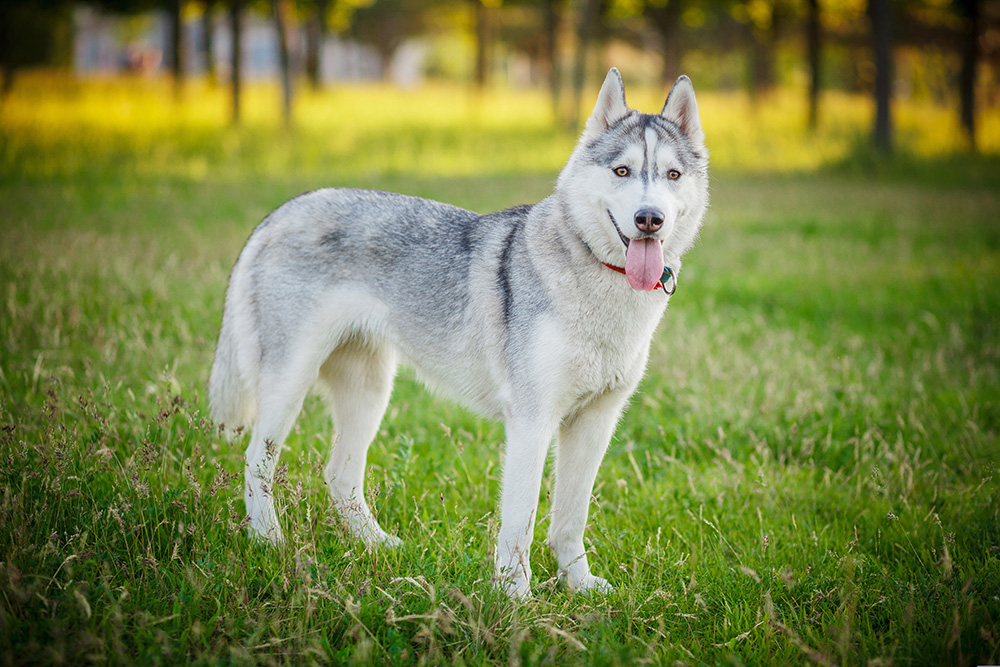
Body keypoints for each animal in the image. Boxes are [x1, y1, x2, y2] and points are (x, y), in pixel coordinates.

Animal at [210, 69, 708, 600]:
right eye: (621, 171)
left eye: (672, 175)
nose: (649, 219)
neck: (599, 282)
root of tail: (280, 212)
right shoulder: (531, 422)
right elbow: (520, 523)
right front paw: (516, 598)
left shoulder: (595, 422)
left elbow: (570, 519)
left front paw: (579, 584)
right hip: (289, 384)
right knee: (256, 464)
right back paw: (269, 543)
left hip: (369, 392)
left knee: (340, 477)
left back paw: (377, 546)